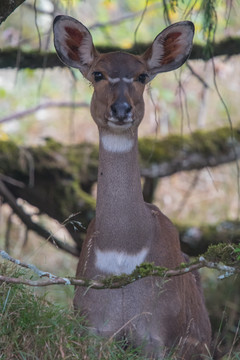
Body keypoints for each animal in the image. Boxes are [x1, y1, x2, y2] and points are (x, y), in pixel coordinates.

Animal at [53, 15, 211, 358]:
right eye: (98, 73)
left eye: (142, 76)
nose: (122, 109)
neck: (123, 249)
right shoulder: (94, 326)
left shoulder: (158, 335)